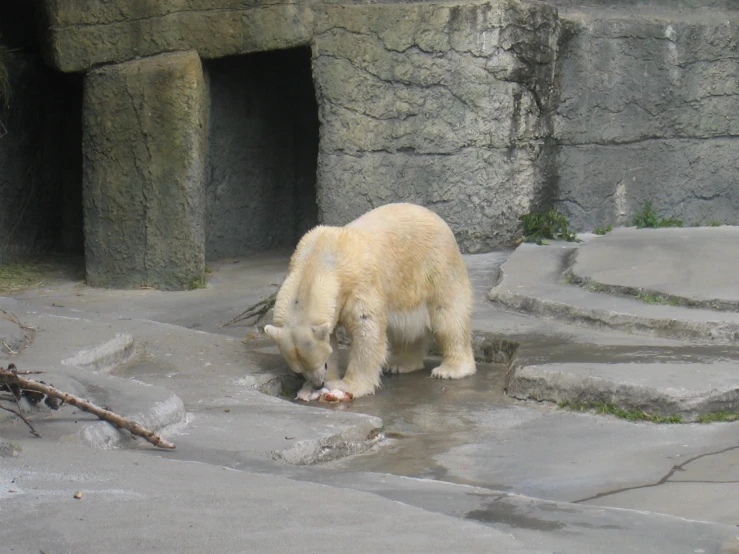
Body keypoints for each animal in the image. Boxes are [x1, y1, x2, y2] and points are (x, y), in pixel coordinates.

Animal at [264, 202, 476, 396]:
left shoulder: (360, 284)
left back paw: (450, 370)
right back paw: (400, 364)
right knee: (406, 328)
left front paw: (347, 386)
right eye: (299, 370)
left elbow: (366, 328)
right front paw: (311, 389)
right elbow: (331, 336)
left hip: (437, 267)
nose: (318, 384)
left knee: (448, 317)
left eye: (321, 364)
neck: (318, 259)